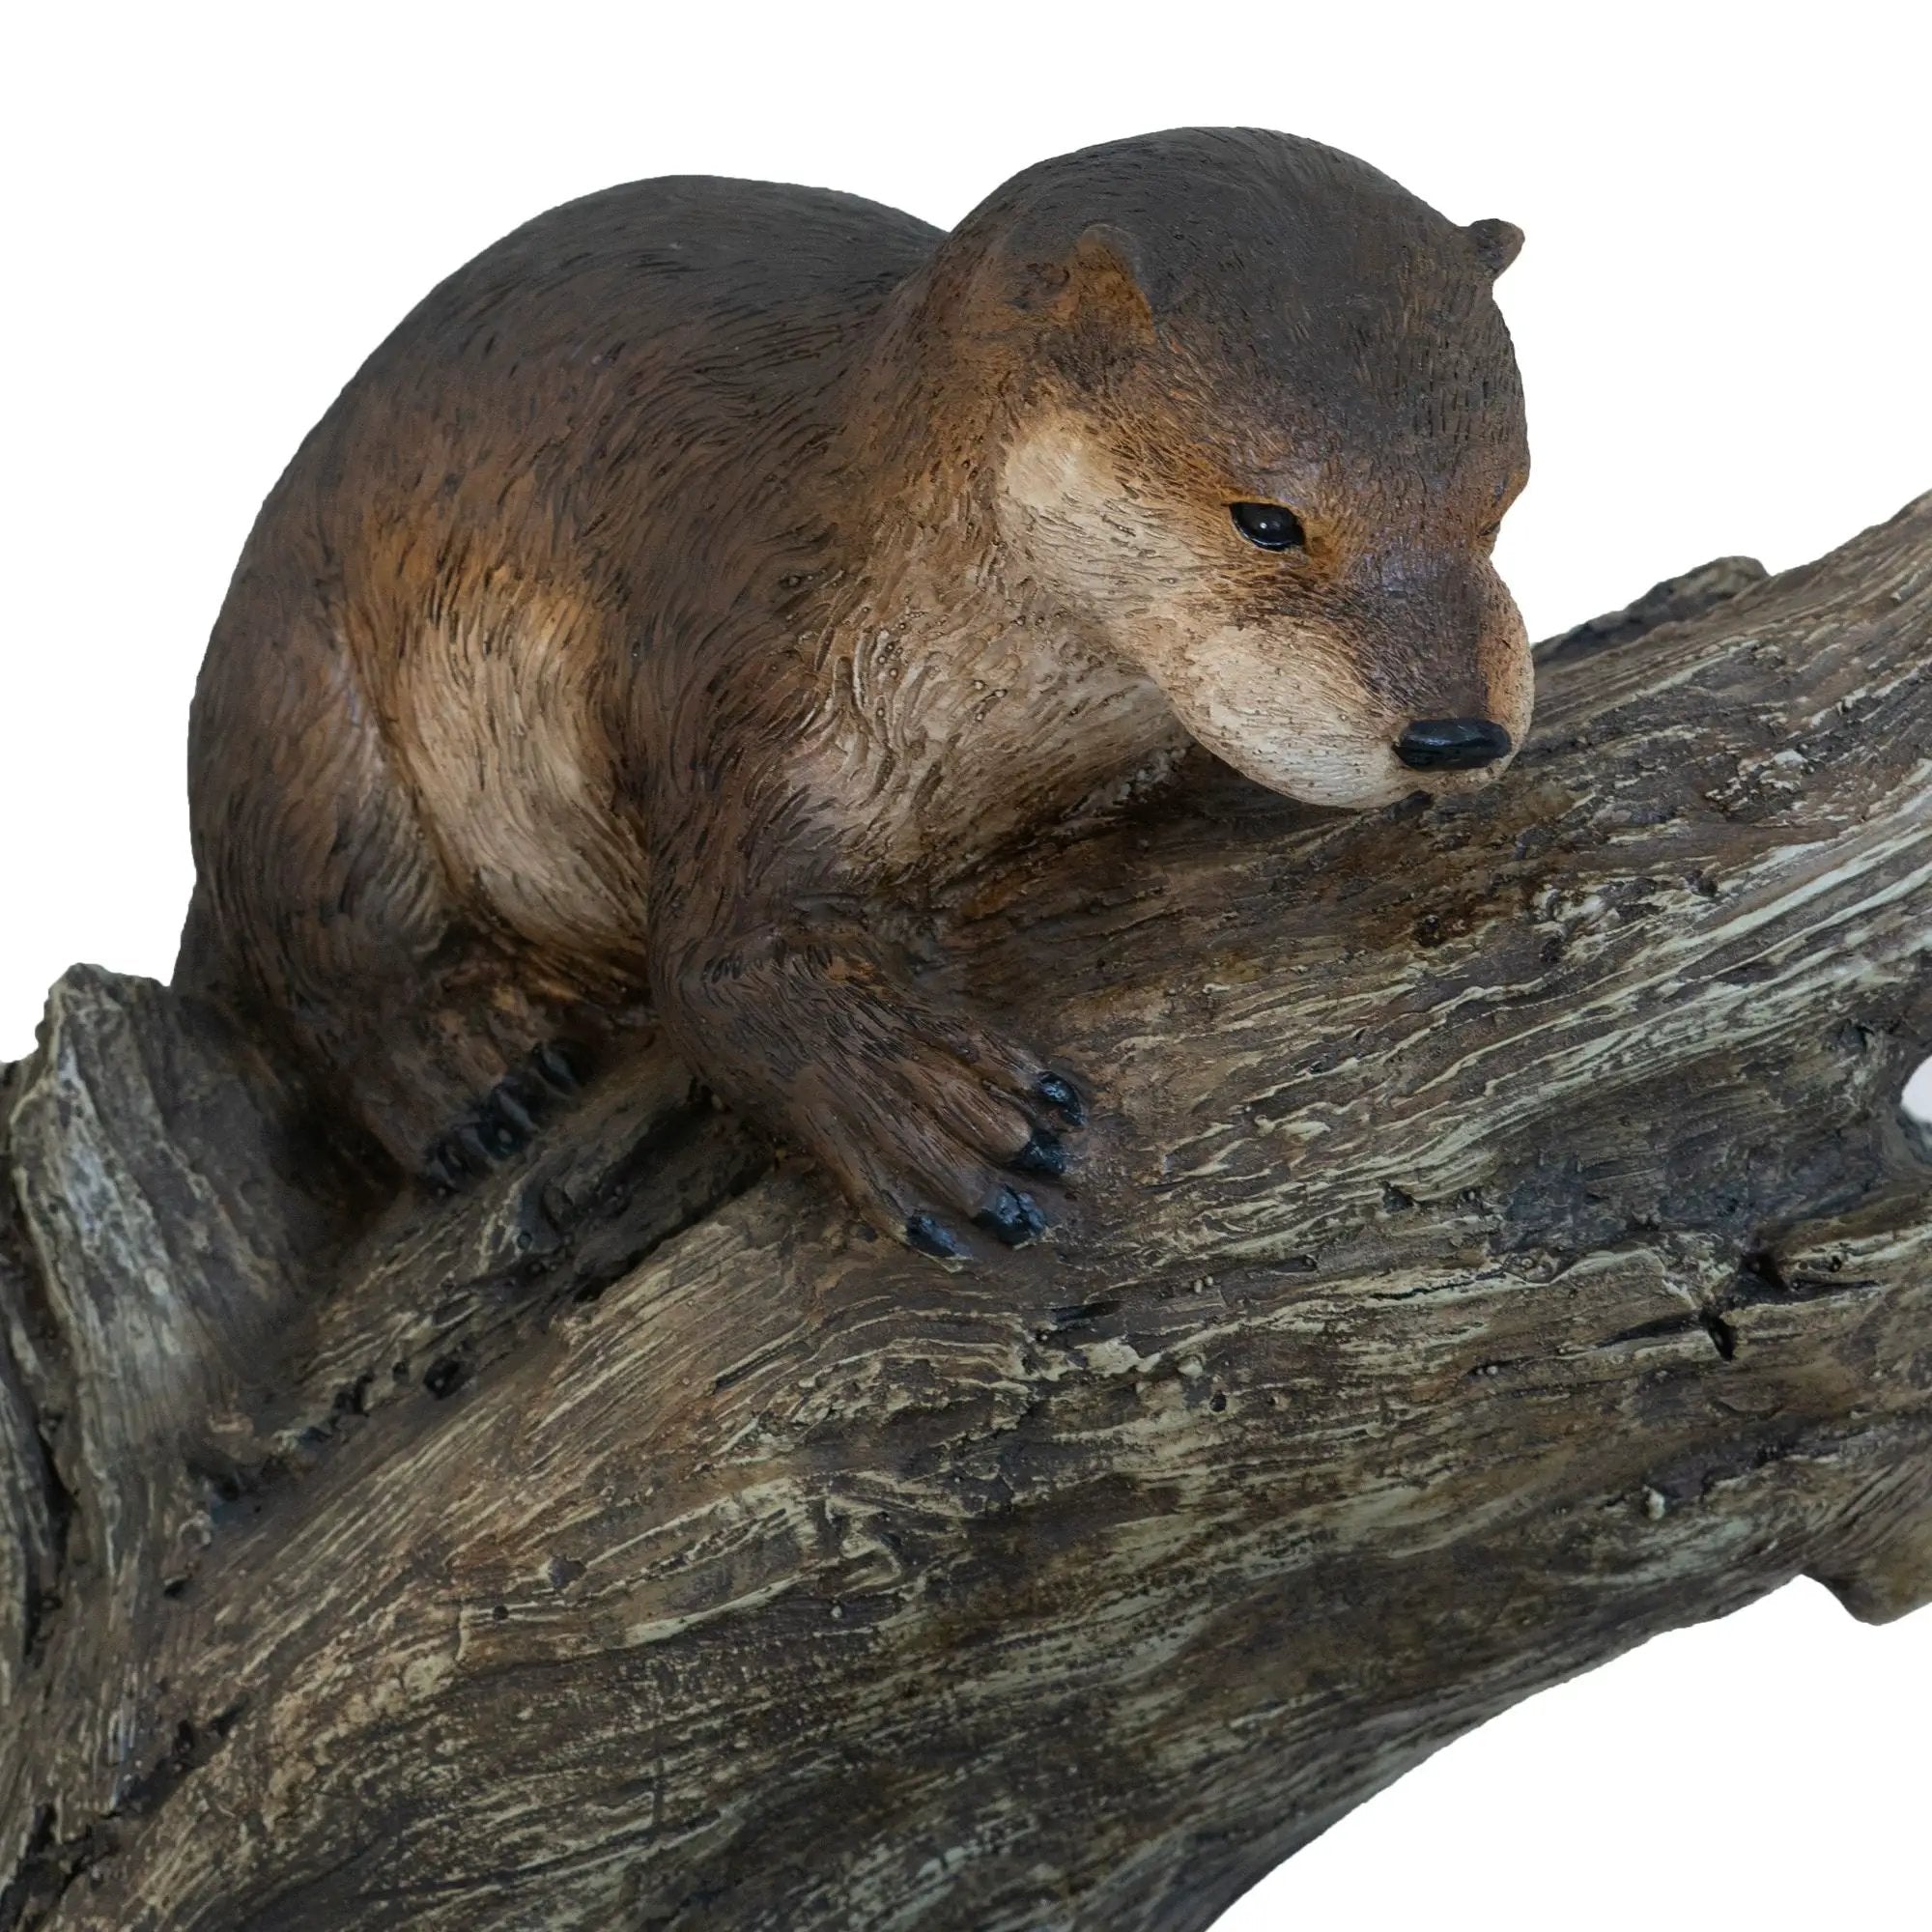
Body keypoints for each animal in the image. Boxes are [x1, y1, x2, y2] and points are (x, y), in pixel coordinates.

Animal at [176, 127, 1531, 1263]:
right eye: (1267, 518)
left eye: (1500, 501)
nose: (1455, 731)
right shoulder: (747, 682)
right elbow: (709, 966)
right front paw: (921, 1098)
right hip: (289, 702)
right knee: (323, 940)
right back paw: (478, 1072)